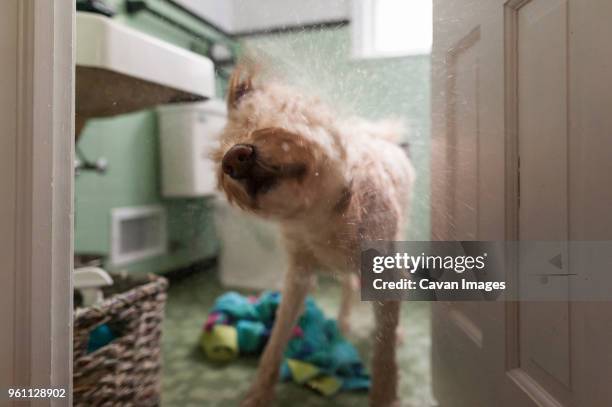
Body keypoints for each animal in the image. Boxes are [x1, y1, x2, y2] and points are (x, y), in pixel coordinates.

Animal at [212, 65, 416, 406]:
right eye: (231, 133)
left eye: (281, 113)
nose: (234, 158)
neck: (323, 212)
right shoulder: (298, 274)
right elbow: (277, 338)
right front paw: (258, 394)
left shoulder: (384, 267)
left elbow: (384, 351)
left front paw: (385, 394)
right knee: (348, 286)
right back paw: (343, 323)